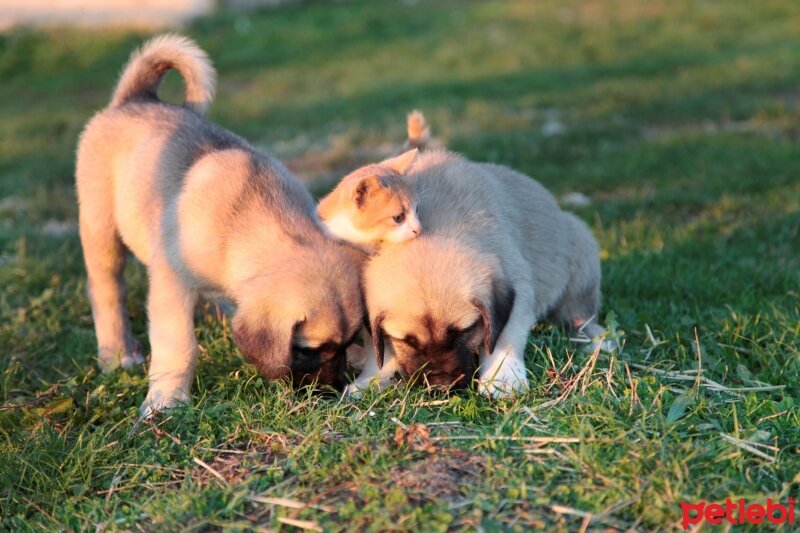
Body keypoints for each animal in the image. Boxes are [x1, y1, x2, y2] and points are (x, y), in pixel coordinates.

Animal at [76, 35, 364, 416]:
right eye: (306, 350)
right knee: (107, 289)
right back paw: (118, 353)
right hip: (101, 228)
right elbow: (178, 345)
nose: (332, 390)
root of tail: (135, 98)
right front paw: (166, 399)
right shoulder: (172, 283)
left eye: (348, 342)